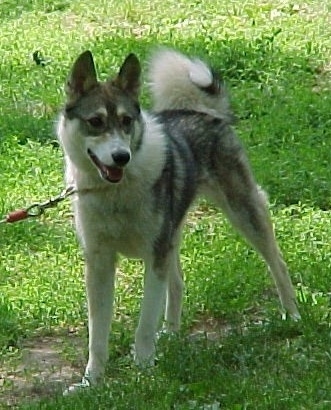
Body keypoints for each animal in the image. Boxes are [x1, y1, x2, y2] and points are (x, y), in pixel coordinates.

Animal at [57, 47, 300, 390]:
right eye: (95, 121)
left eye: (126, 121)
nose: (121, 157)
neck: (116, 192)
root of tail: (202, 112)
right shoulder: (100, 263)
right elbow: (98, 334)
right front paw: (92, 381)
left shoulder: (154, 256)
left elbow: (145, 323)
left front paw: (144, 372)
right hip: (172, 234)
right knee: (178, 284)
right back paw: (171, 334)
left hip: (244, 211)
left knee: (277, 263)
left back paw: (292, 316)